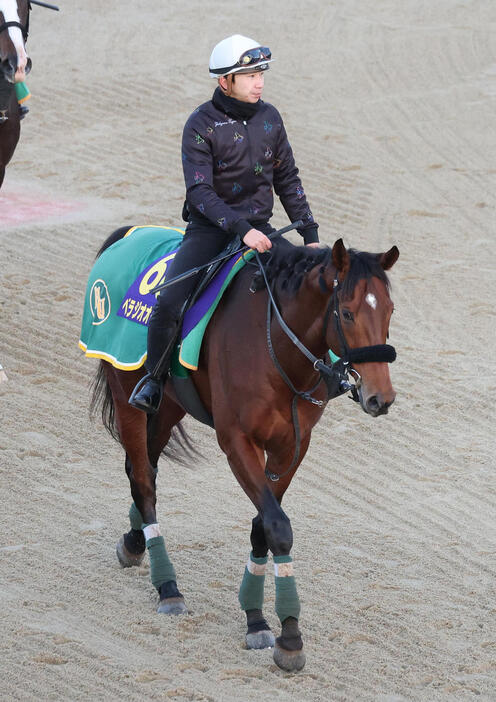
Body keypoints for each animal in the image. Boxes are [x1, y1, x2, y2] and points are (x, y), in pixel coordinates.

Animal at [90, 234, 400, 672]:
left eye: (390, 310)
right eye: (347, 312)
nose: (380, 398)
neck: (274, 345)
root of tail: (126, 235)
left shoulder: (292, 445)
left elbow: (262, 525)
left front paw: (256, 617)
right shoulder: (237, 442)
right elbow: (278, 527)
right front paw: (289, 636)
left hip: (169, 404)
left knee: (143, 466)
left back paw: (135, 543)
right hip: (128, 394)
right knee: (143, 480)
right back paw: (168, 586)